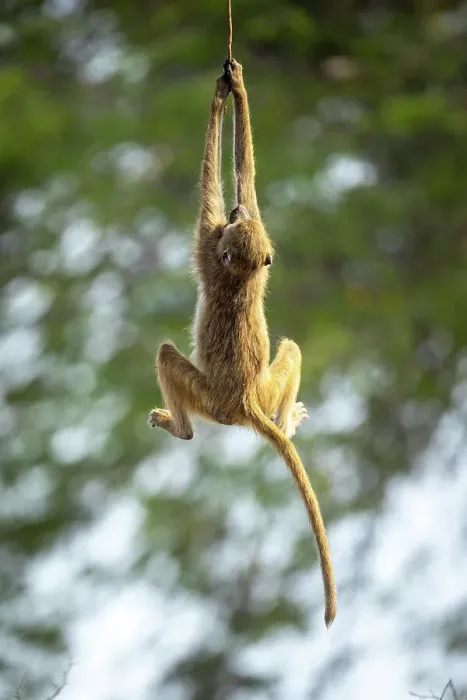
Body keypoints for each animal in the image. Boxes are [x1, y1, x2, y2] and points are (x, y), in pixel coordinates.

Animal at [149, 59, 337, 627]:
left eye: (233, 233)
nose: (237, 219)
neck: (239, 277)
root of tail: (246, 403)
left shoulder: (205, 246)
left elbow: (213, 185)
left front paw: (224, 93)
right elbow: (247, 180)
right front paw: (237, 88)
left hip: (209, 400)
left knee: (167, 358)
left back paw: (181, 428)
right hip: (266, 385)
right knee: (292, 349)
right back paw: (285, 421)